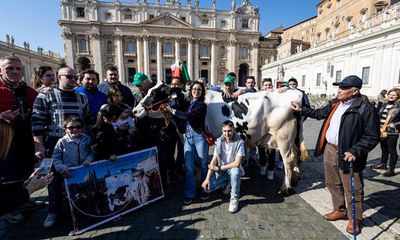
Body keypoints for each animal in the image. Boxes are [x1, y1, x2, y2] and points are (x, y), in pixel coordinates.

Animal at [133, 81, 308, 196]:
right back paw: (295, 179)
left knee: (288, 159)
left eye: (154, 93)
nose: (135, 110)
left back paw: (284, 188)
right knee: (296, 155)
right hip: (292, 138)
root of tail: (295, 93)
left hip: (283, 137)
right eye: (149, 90)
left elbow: (200, 162)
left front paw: (202, 183)